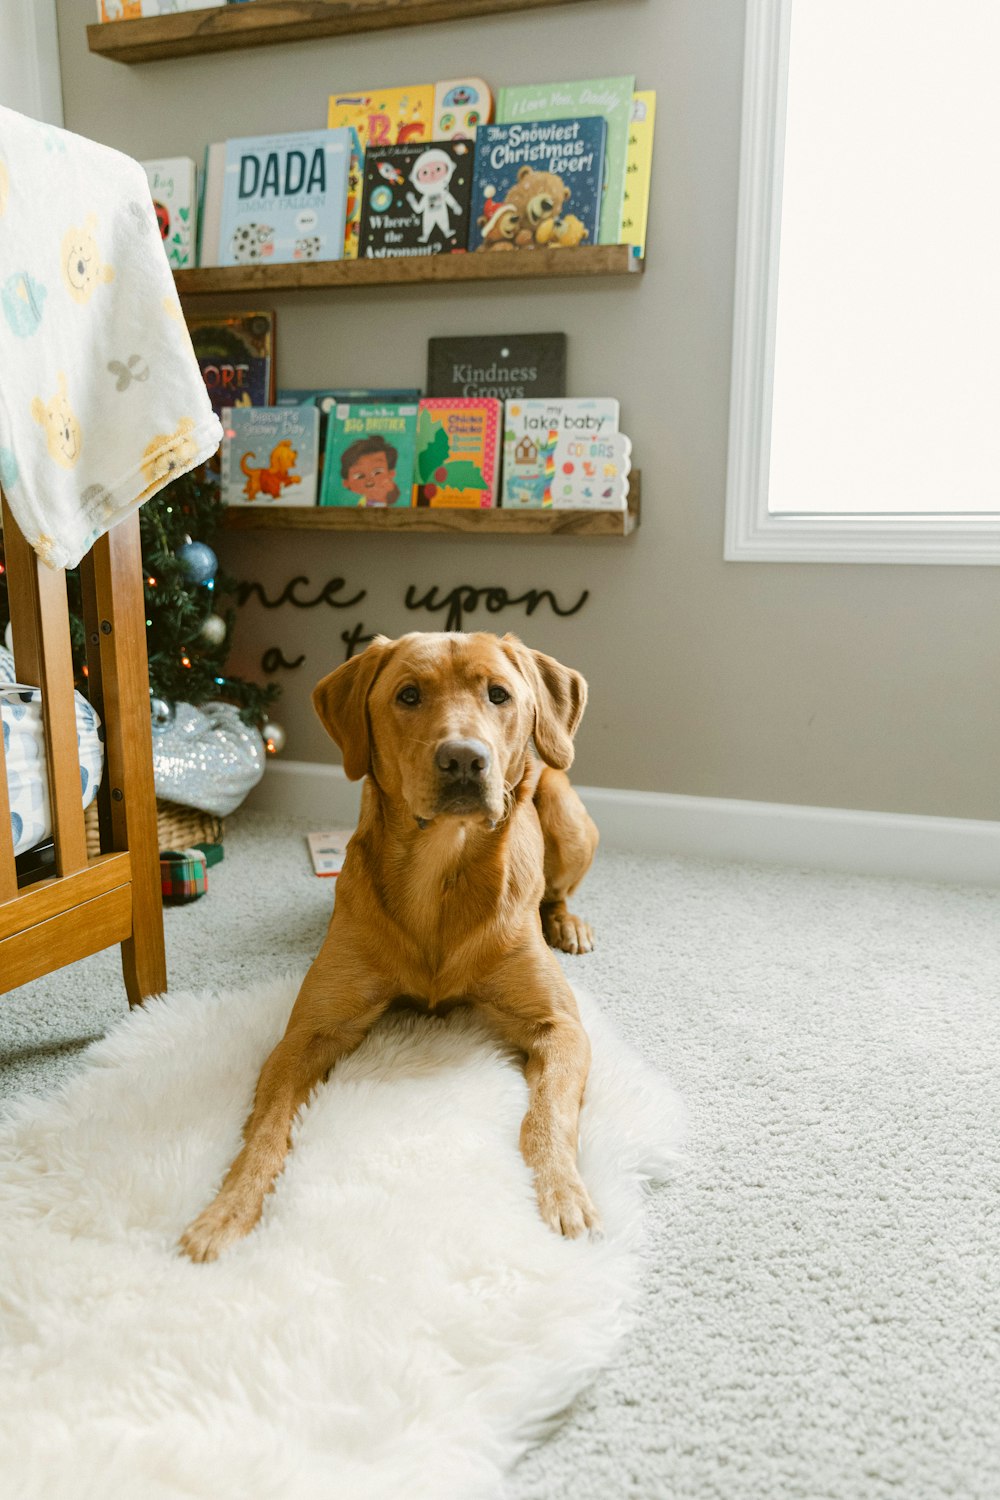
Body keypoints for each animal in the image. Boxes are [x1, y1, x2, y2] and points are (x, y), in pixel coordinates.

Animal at [179, 627, 599, 1260]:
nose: (463, 759)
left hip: (568, 817)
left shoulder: (561, 1027)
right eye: (408, 695)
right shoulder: (308, 1033)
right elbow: (266, 1132)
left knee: (559, 888)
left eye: (499, 694)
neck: (440, 875)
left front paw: (563, 1193)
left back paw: (567, 922)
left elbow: (548, 1116)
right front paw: (227, 1210)